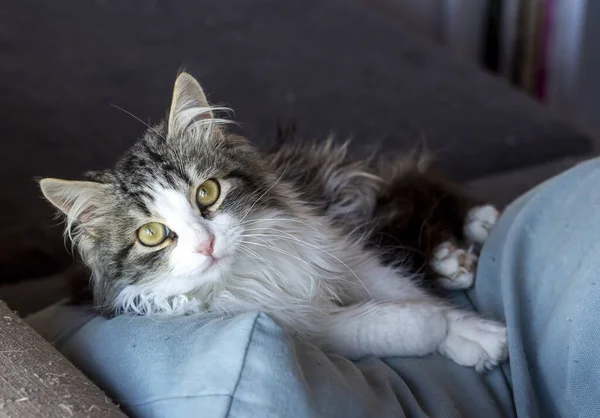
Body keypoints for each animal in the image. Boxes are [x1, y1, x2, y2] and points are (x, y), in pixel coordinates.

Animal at [39, 73, 506, 370]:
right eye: (151, 234)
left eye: (206, 193)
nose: (206, 244)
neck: (251, 269)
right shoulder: (301, 324)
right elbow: (376, 323)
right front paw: (440, 329)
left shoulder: (339, 249)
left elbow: (402, 290)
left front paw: (476, 330)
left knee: (420, 185)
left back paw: (474, 231)